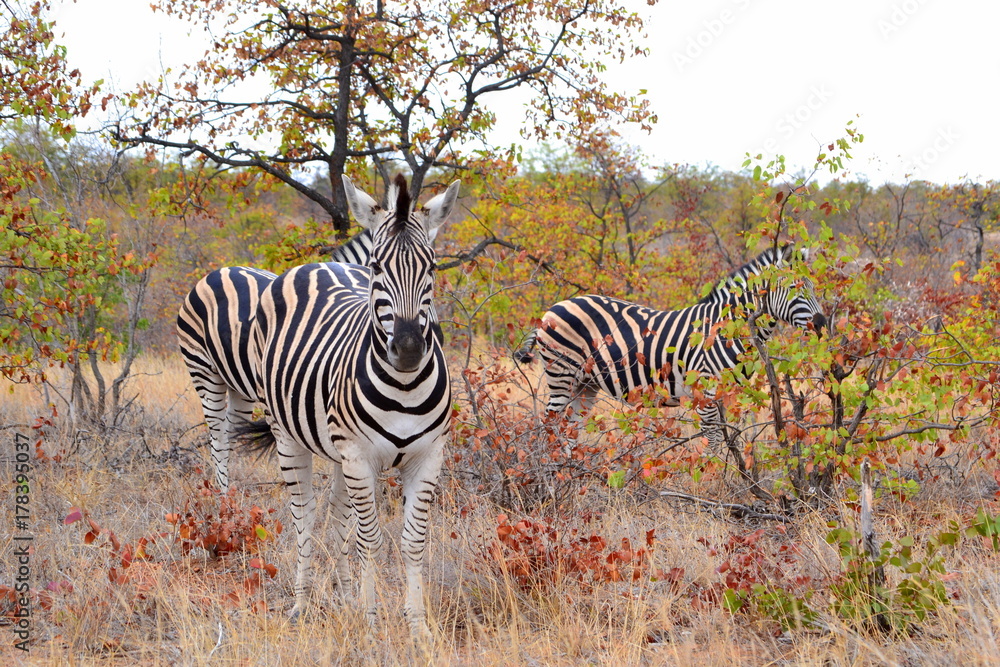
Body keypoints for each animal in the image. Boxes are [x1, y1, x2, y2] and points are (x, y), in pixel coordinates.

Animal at [176, 228, 378, 493]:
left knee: (231, 431)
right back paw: (223, 495)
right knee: (217, 438)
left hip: (239, 387)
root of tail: (216, 273)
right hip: (203, 372)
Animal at [244, 174, 460, 639]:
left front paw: (417, 627)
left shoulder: (428, 456)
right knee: (306, 518)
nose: (409, 349)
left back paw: (345, 598)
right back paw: (301, 605)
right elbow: (370, 539)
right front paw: (373, 623)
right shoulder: (360, 456)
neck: (405, 386)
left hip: (341, 454)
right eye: (377, 267)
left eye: (432, 267)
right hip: (289, 436)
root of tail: (316, 265)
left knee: (339, 515)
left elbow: (412, 540)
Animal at [516, 243, 826, 452]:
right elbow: (714, 441)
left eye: (813, 287)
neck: (725, 327)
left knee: (569, 428)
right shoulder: (705, 391)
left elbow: (727, 439)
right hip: (562, 373)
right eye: (796, 288)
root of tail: (552, 308)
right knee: (551, 425)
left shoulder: (722, 395)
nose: (822, 324)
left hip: (585, 384)